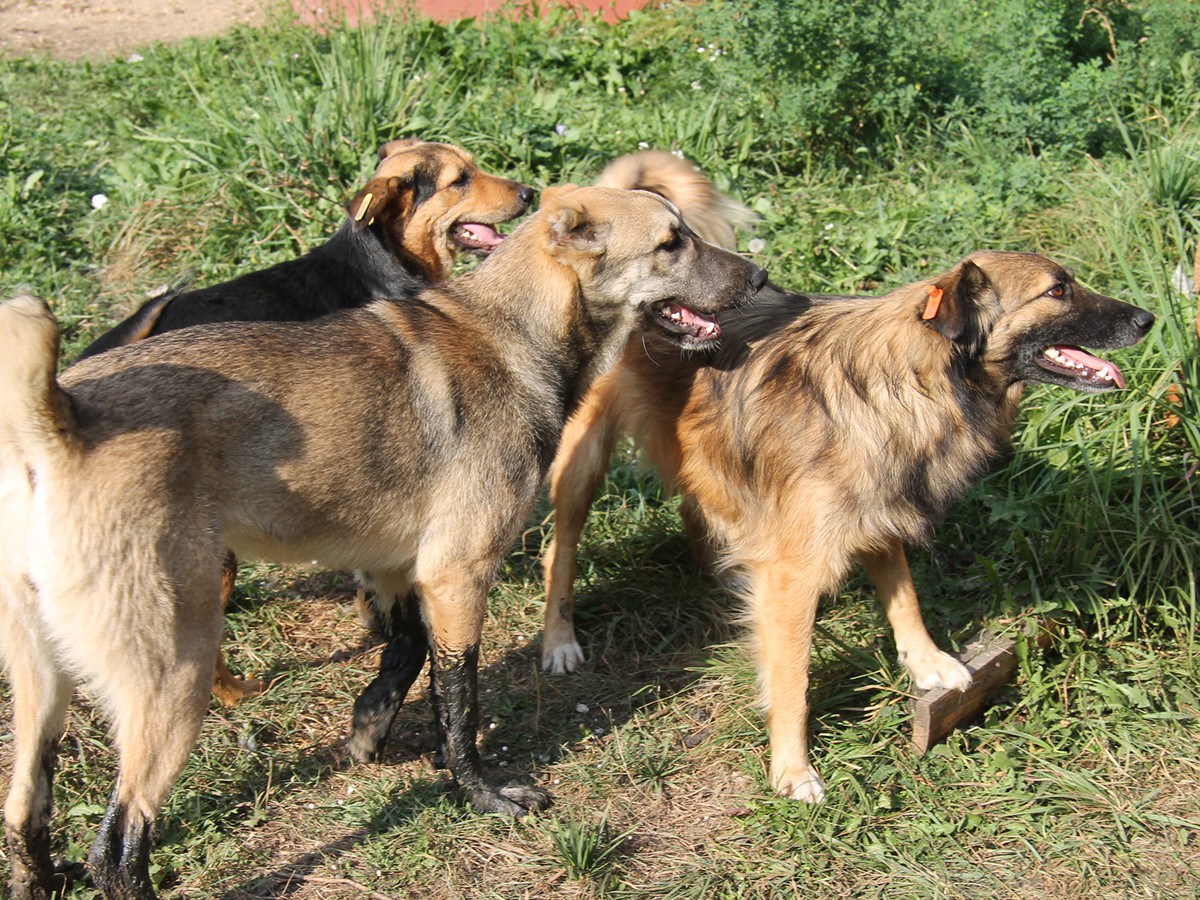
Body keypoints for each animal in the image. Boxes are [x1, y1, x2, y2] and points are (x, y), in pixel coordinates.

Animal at [544, 153, 1152, 801]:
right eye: (1057, 290)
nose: (1148, 318)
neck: (914, 381)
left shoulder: (881, 511)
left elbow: (905, 599)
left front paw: (929, 663)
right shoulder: (798, 573)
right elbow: (794, 679)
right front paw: (792, 768)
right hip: (581, 464)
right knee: (559, 552)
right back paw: (559, 640)